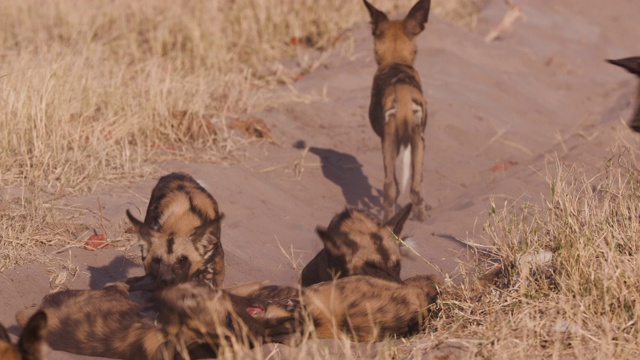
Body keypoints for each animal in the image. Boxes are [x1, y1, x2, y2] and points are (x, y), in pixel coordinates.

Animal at [362, 0, 432, 221]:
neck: (396, 60)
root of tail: (402, 97)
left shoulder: (390, 142)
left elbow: (394, 183)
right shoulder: (411, 142)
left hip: (389, 142)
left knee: (389, 188)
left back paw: (387, 221)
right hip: (418, 142)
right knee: (416, 188)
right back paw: (421, 219)